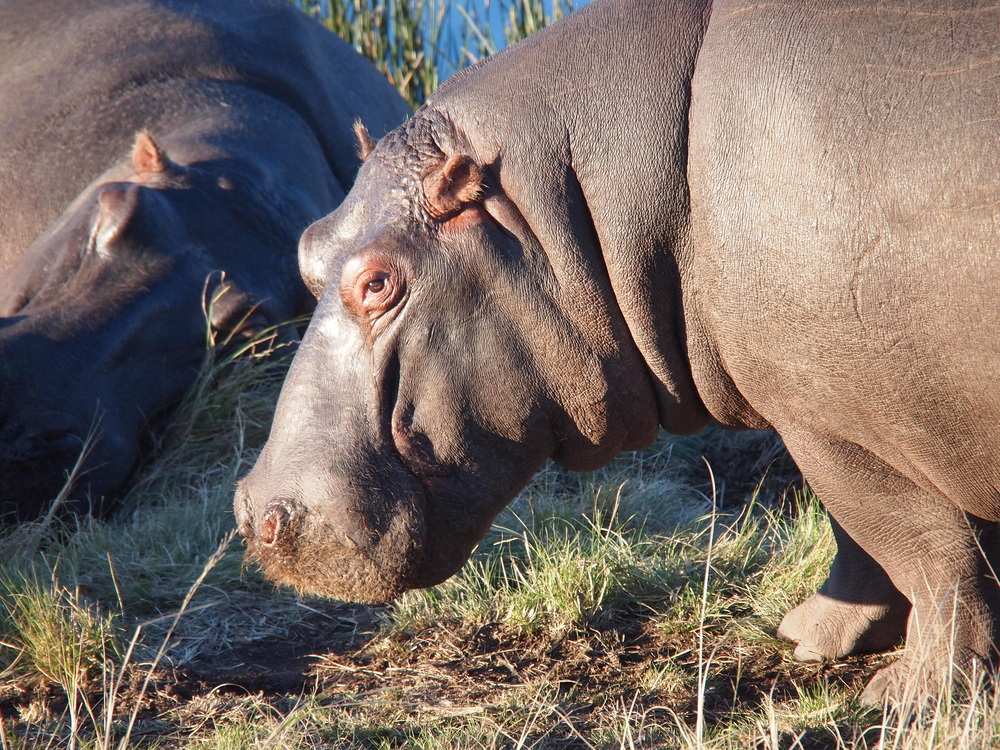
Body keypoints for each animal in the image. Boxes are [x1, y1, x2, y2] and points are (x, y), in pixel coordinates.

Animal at [238, 0, 1000, 704]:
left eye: (377, 283)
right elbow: (865, 538)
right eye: (307, 244)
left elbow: (924, 550)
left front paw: (915, 698)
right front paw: (809, 636)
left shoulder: (840, 421)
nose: (252, 513)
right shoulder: (823, 415)